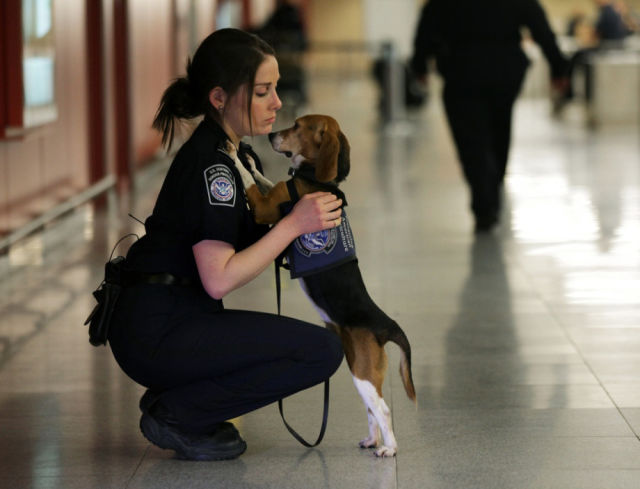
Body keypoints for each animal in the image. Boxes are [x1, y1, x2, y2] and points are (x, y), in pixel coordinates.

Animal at [228, 115, 418, 458]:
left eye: (297, 126)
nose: (271, 134)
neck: (317, 180)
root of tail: (385, 323)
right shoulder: (272, 193)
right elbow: (262, 178)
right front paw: (248, 159)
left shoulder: (264, 208)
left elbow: (249, 182)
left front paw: (234, 154)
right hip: (357, 367)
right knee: (371, 409)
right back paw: (373, 440)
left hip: (363, 372)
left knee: (382, 410)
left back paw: (389, 448)